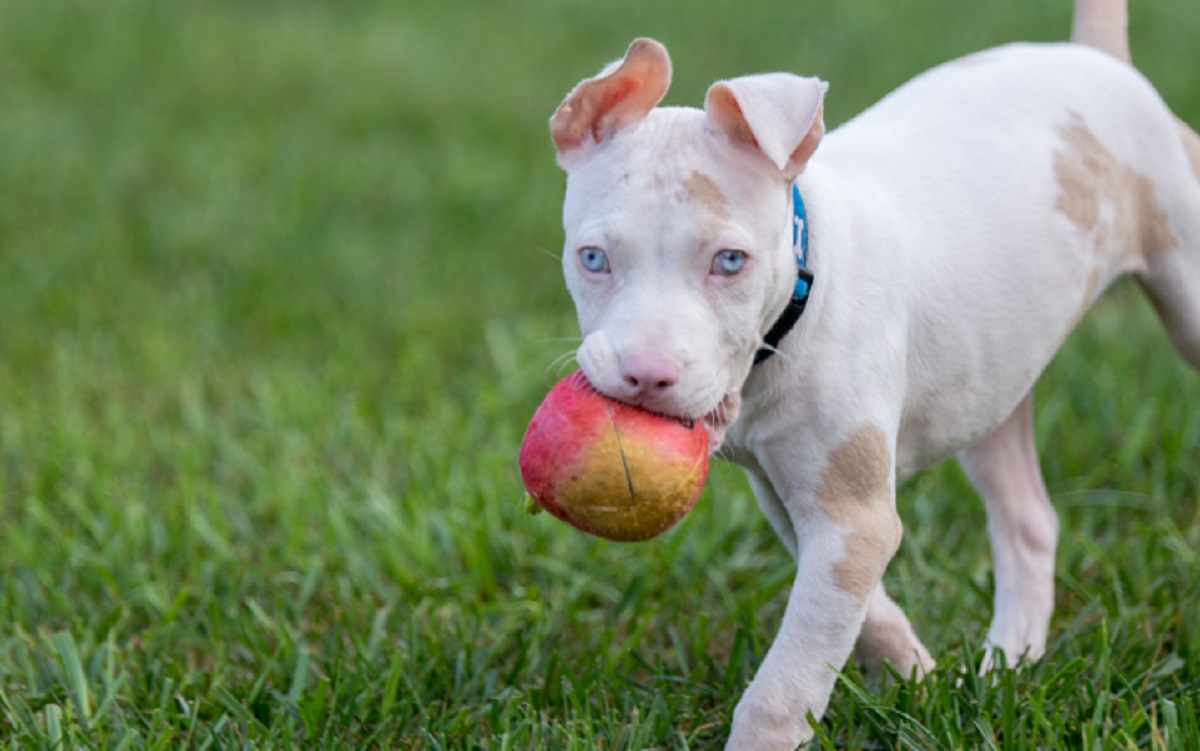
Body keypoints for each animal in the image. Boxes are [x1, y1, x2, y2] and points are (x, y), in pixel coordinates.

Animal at [549, 1, 1195, 743]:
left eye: (730, 261)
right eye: (592, 258)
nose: (644, 376)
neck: (798, 300)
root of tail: (1095, 58)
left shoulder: (847, 518)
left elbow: (783, 683)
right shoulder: (801, 504)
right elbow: (854, 617)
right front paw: (921, 678)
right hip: (991, 374)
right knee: (1027, 520)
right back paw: (1006, 667)